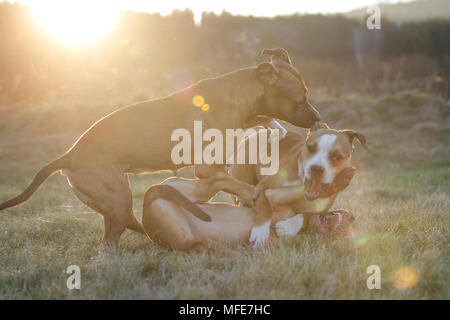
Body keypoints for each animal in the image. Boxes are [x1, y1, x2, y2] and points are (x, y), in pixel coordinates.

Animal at [0, 48, 324, 248]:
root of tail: (69, 156)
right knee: (109, 244)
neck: (239, 94)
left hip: (117, 204)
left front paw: (274, 130)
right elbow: (224, 174)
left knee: (126, 228)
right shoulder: (207, 166)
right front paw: (250, 191)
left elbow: (265, 124)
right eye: (300, 99)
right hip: (118, 198)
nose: (318, 118)